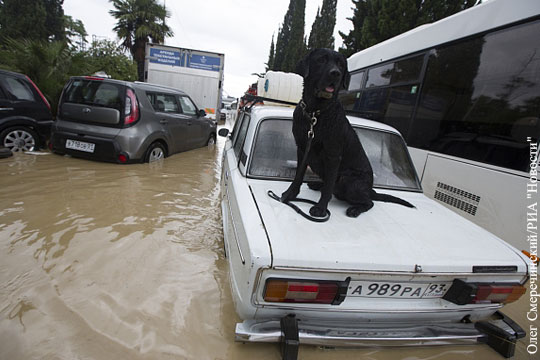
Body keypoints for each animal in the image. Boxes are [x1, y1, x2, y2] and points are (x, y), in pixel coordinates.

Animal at [278, 47, 414, 217]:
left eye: (341, 65)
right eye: (321, 60)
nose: (335, 73)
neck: (316, 112)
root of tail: (370, 190)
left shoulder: (333, 155)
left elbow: (328, 186)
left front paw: (321, 208)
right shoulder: (302, 149)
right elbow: (298, 176)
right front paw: (289, 195)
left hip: (347, 179)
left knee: (369, 202)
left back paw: (355, 209)